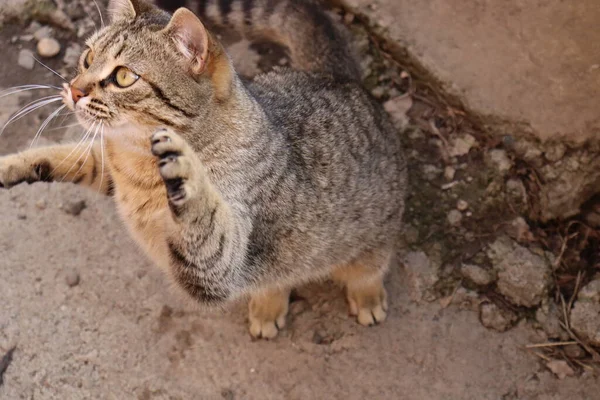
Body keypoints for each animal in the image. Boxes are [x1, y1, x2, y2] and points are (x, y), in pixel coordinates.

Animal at [0, 0, 408, 340]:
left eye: (123, 77)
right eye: (87, 58)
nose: (73, 90)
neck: (135, 163)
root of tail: (342, 78)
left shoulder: (222, 266)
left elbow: (205, 223)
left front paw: (186, 168)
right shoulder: (111, 170)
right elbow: (61, 156)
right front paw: (11, 164)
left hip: (370, 243)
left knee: (368, 269)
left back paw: (367, 297)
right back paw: (268, 306)